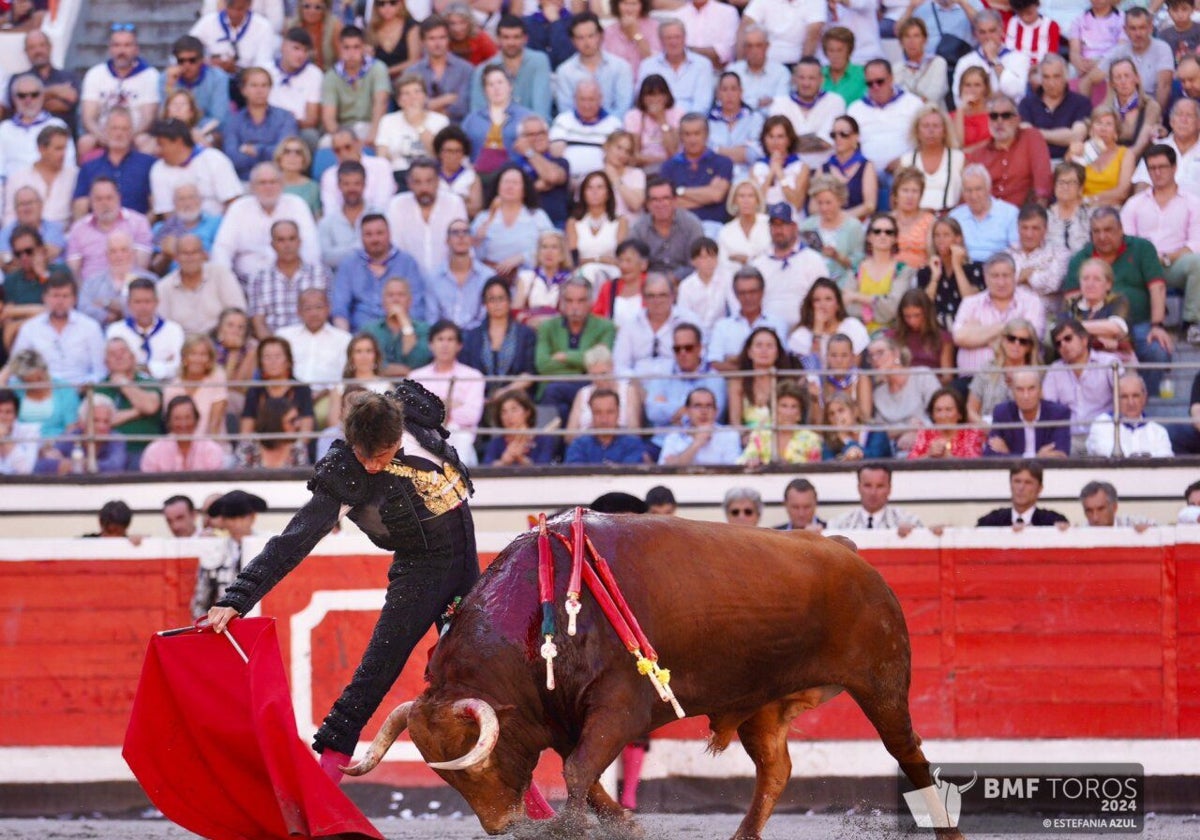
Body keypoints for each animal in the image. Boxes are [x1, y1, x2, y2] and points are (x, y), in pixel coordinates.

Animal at [343, 511, 960, 840]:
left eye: (475, 763)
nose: (501, 827)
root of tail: (845, 551)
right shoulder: (566, 718)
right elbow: (588, 780)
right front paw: (628, 827)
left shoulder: (619, 706)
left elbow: (578, 773)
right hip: (763, 703)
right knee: (776, 768)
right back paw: (742, 837)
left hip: (882, 683)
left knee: (910, 755)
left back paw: (948, 829)